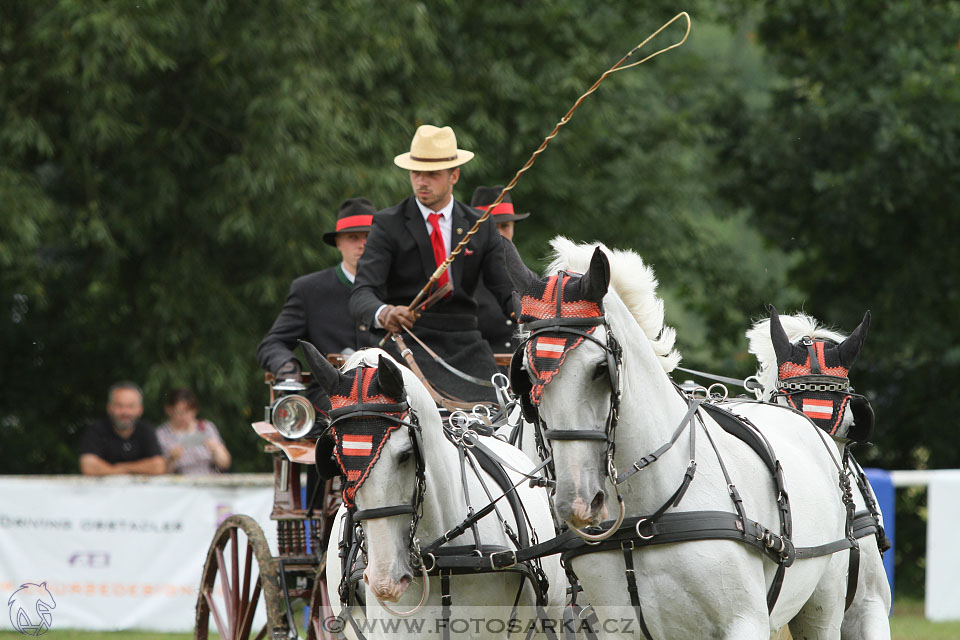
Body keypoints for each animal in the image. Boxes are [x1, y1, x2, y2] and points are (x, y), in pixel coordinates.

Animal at [510, 238, 856, 636]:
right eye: (526, 375)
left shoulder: (744, 622)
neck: (647, 518)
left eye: (600, 369)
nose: (578, 503)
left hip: (823, 604)